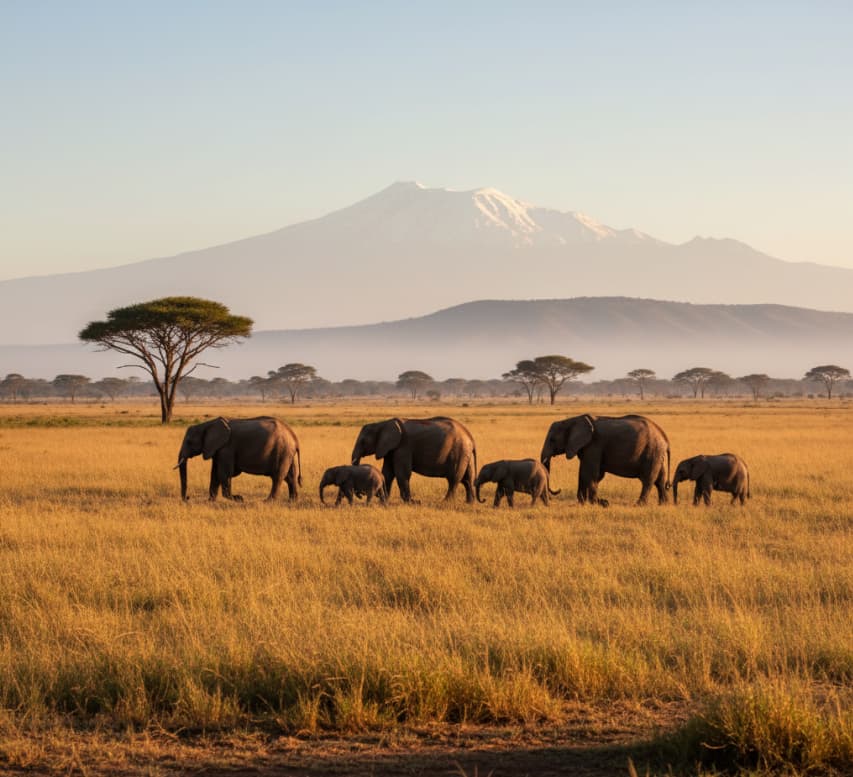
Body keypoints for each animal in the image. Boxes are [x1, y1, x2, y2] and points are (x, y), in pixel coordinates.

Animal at [540, 414, 670, 506]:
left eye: (552, 440)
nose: (558, 491)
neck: (572, 420)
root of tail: (664, 436)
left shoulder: (594, 445)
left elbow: (591, 473)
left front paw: (600, 503)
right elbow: (585, 473)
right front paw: (582, 502)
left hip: (652, 452)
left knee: (648, 480)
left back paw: (639, 505)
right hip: (657, 454)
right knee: (660, 480)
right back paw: (663, 504)